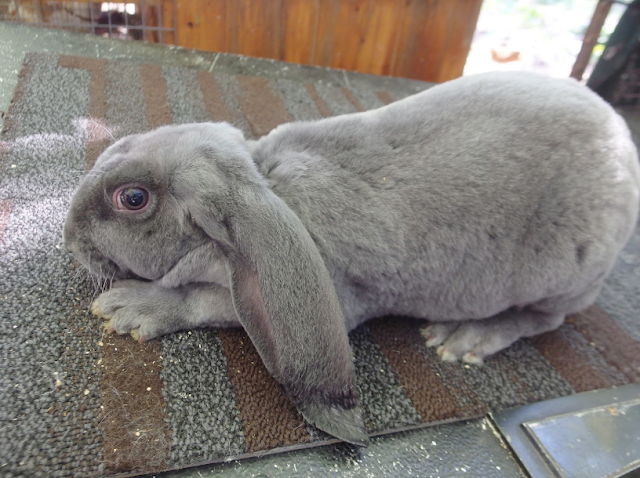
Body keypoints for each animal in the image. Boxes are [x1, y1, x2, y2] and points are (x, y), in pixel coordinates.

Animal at [63, 71, 640, 444]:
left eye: (132, 198)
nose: (68, 236)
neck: (266, 185)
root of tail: (623, 146)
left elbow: (202, 301)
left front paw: (129, 307)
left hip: (561, 276)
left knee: (545, 319)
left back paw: (462, 340)